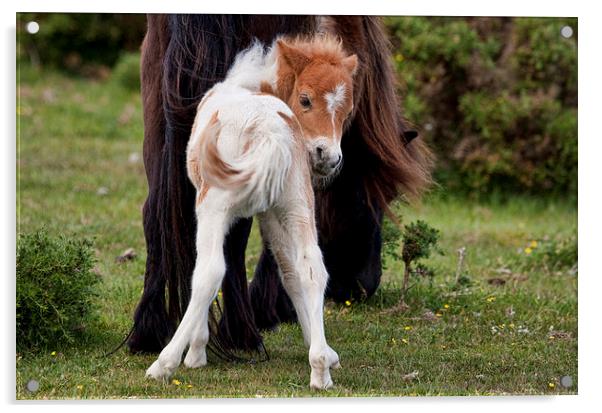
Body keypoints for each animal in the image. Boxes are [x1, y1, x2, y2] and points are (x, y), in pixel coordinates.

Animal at [129, 14, 432, 352]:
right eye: (365, 196)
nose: (363, 285)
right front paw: (274, 307)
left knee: (154, 212)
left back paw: (149, 331)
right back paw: (242, 335)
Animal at [144, 36, 356, 390]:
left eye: (347, 111)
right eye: (306, 99)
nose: (328, 158)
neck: (252, 86)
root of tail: (269, 130)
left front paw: (196, 351)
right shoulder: (271, 214)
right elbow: (291, 273)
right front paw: (326, 353)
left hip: (214, 205)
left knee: (209, 271)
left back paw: (165, 362)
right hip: (298, 205)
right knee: (313, 268)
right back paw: (320, 373)